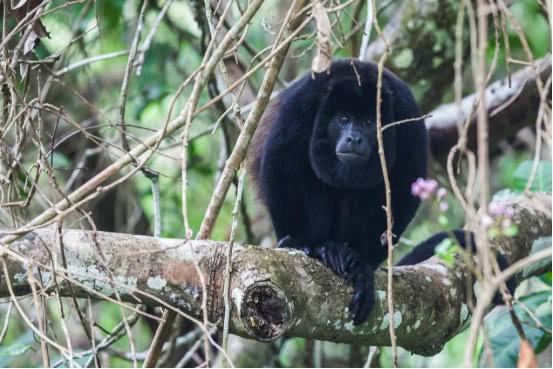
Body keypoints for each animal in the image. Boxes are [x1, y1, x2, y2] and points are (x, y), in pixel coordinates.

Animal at [249, 59, 512, 324]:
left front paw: (363, 267)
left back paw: (345, 254)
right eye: (343, 119)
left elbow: (404, 186)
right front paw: (299, 242)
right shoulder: (302, 105)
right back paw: (323, 248)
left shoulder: (407, 117)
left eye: (368, 123)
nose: (354, 138)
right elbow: (281, 162)